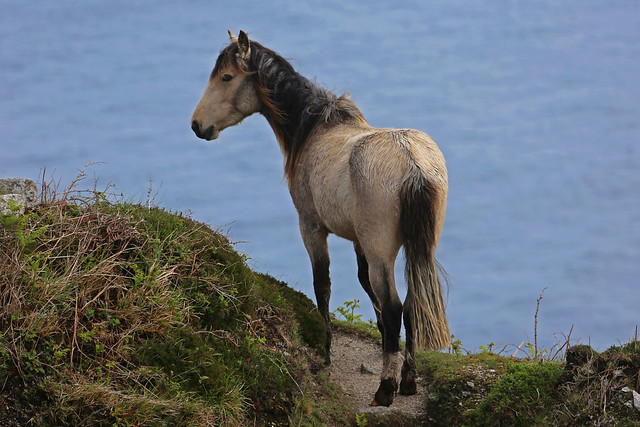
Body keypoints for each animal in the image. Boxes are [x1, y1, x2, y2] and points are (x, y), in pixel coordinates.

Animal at [192, 30, 448, 408]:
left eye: (226, 77)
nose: (198, 125)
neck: (317, 128)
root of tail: (412, 161)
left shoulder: (311, 227)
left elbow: (323, 286)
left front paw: (325, 354)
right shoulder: (358, 241)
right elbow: (363, 283)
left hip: (381, 251)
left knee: (394, 307)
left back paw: (385, 389)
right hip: (415, 248)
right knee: (412, 304)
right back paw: (408, 380)